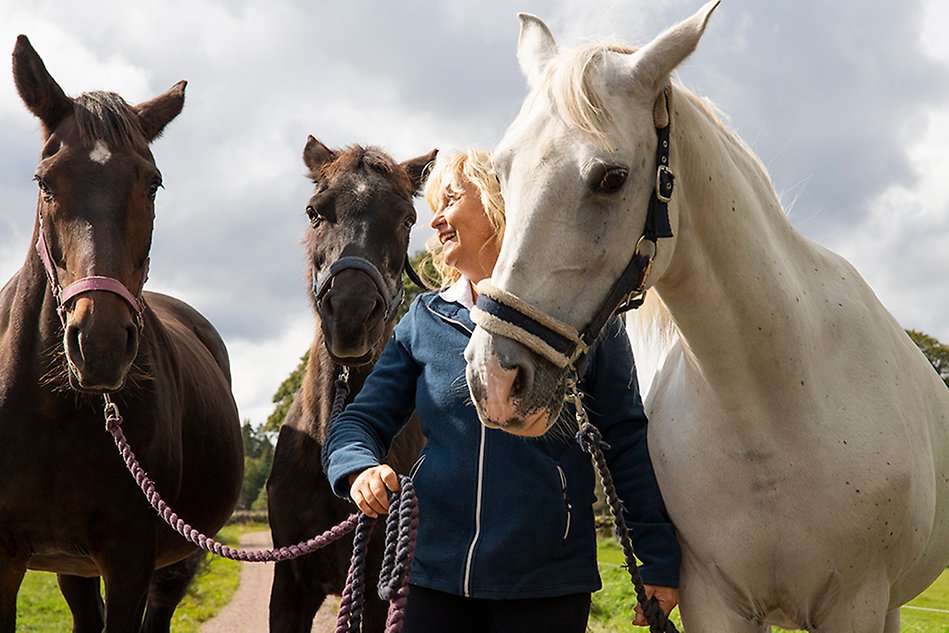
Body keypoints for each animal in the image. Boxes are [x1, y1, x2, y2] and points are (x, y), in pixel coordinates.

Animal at [0, 35, 244, 632]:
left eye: (151, 184)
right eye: (45, 182)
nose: (101, 344)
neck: (52, 414)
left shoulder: (130, 559)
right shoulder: (5, 558)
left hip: (176, 559)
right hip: (73, 565)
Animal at [464, 2, 948, 628]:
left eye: (611, 178)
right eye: (501, 172)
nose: (494, 379)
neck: (773, 413)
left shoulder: (856, 603)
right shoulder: (711, 600)